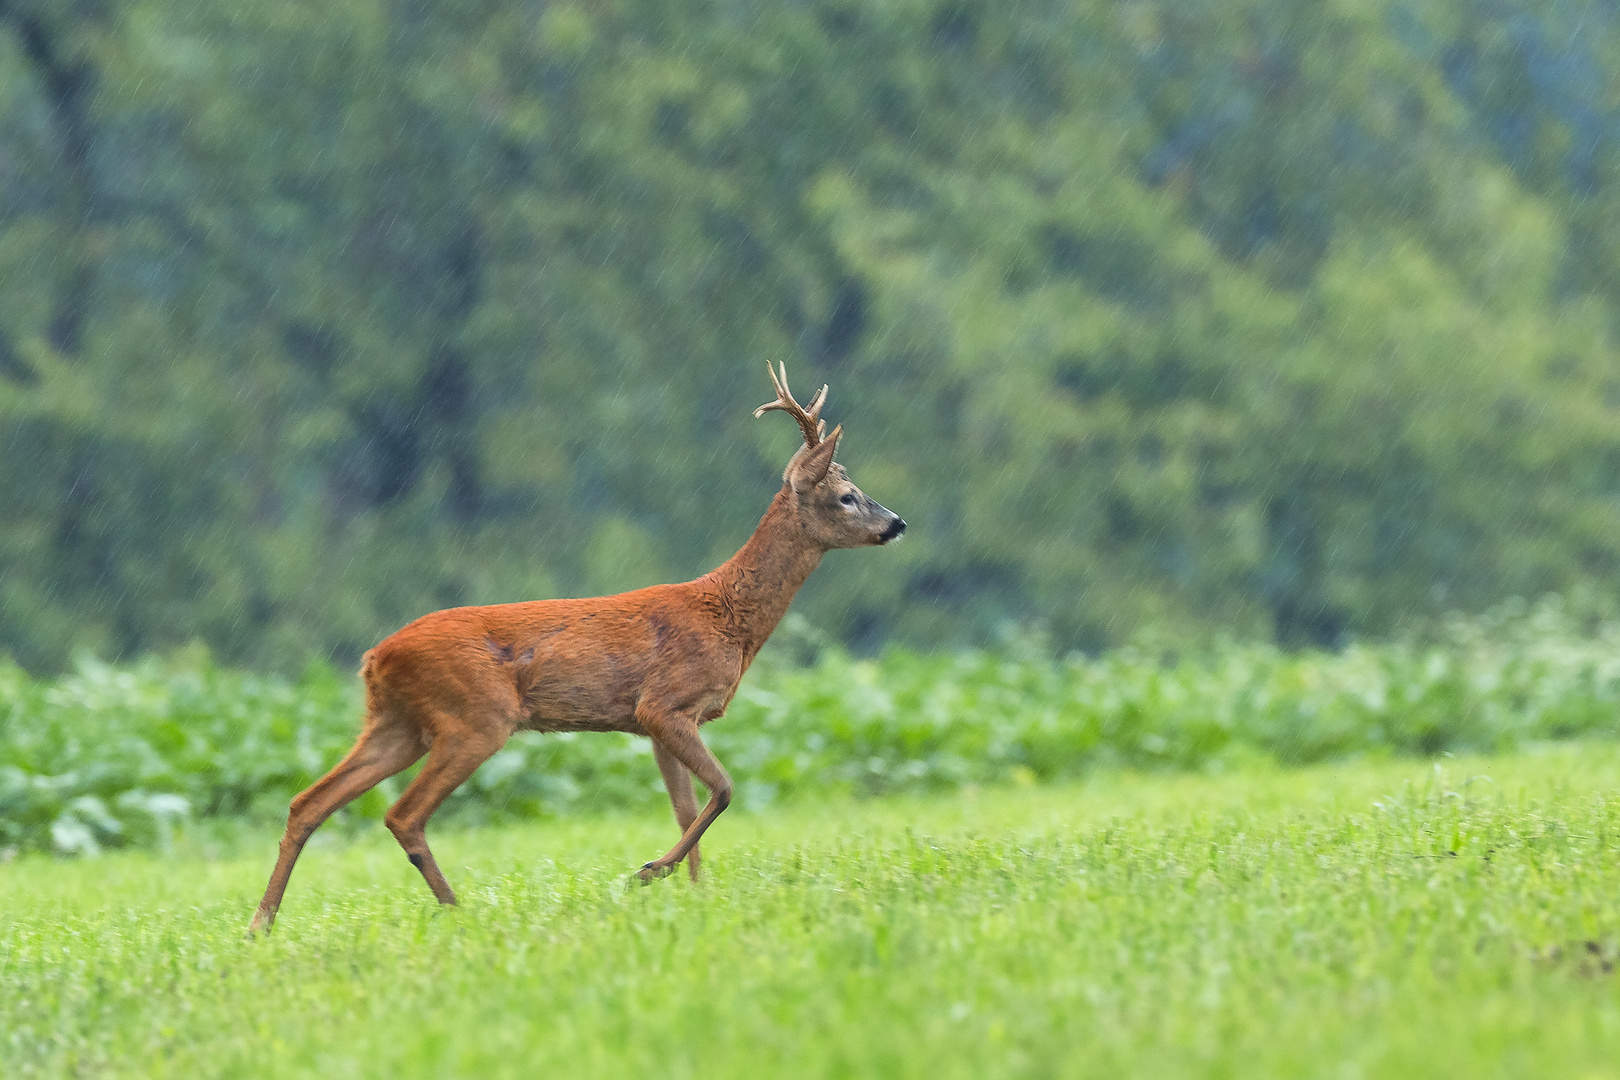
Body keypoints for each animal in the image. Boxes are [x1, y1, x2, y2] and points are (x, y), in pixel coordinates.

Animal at [247, 362, 907, 932]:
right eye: (847, 495)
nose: (897, 524)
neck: (727, 618)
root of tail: (372, 658)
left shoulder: (658, 723)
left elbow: (687, 806)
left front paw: (694, 894)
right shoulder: (664, 704)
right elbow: (723, 789)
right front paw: (651, 871)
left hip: (397, 723)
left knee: (309, 801)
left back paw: (261, 924)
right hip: (475, 717)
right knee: (401, 814)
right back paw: (456, 910)